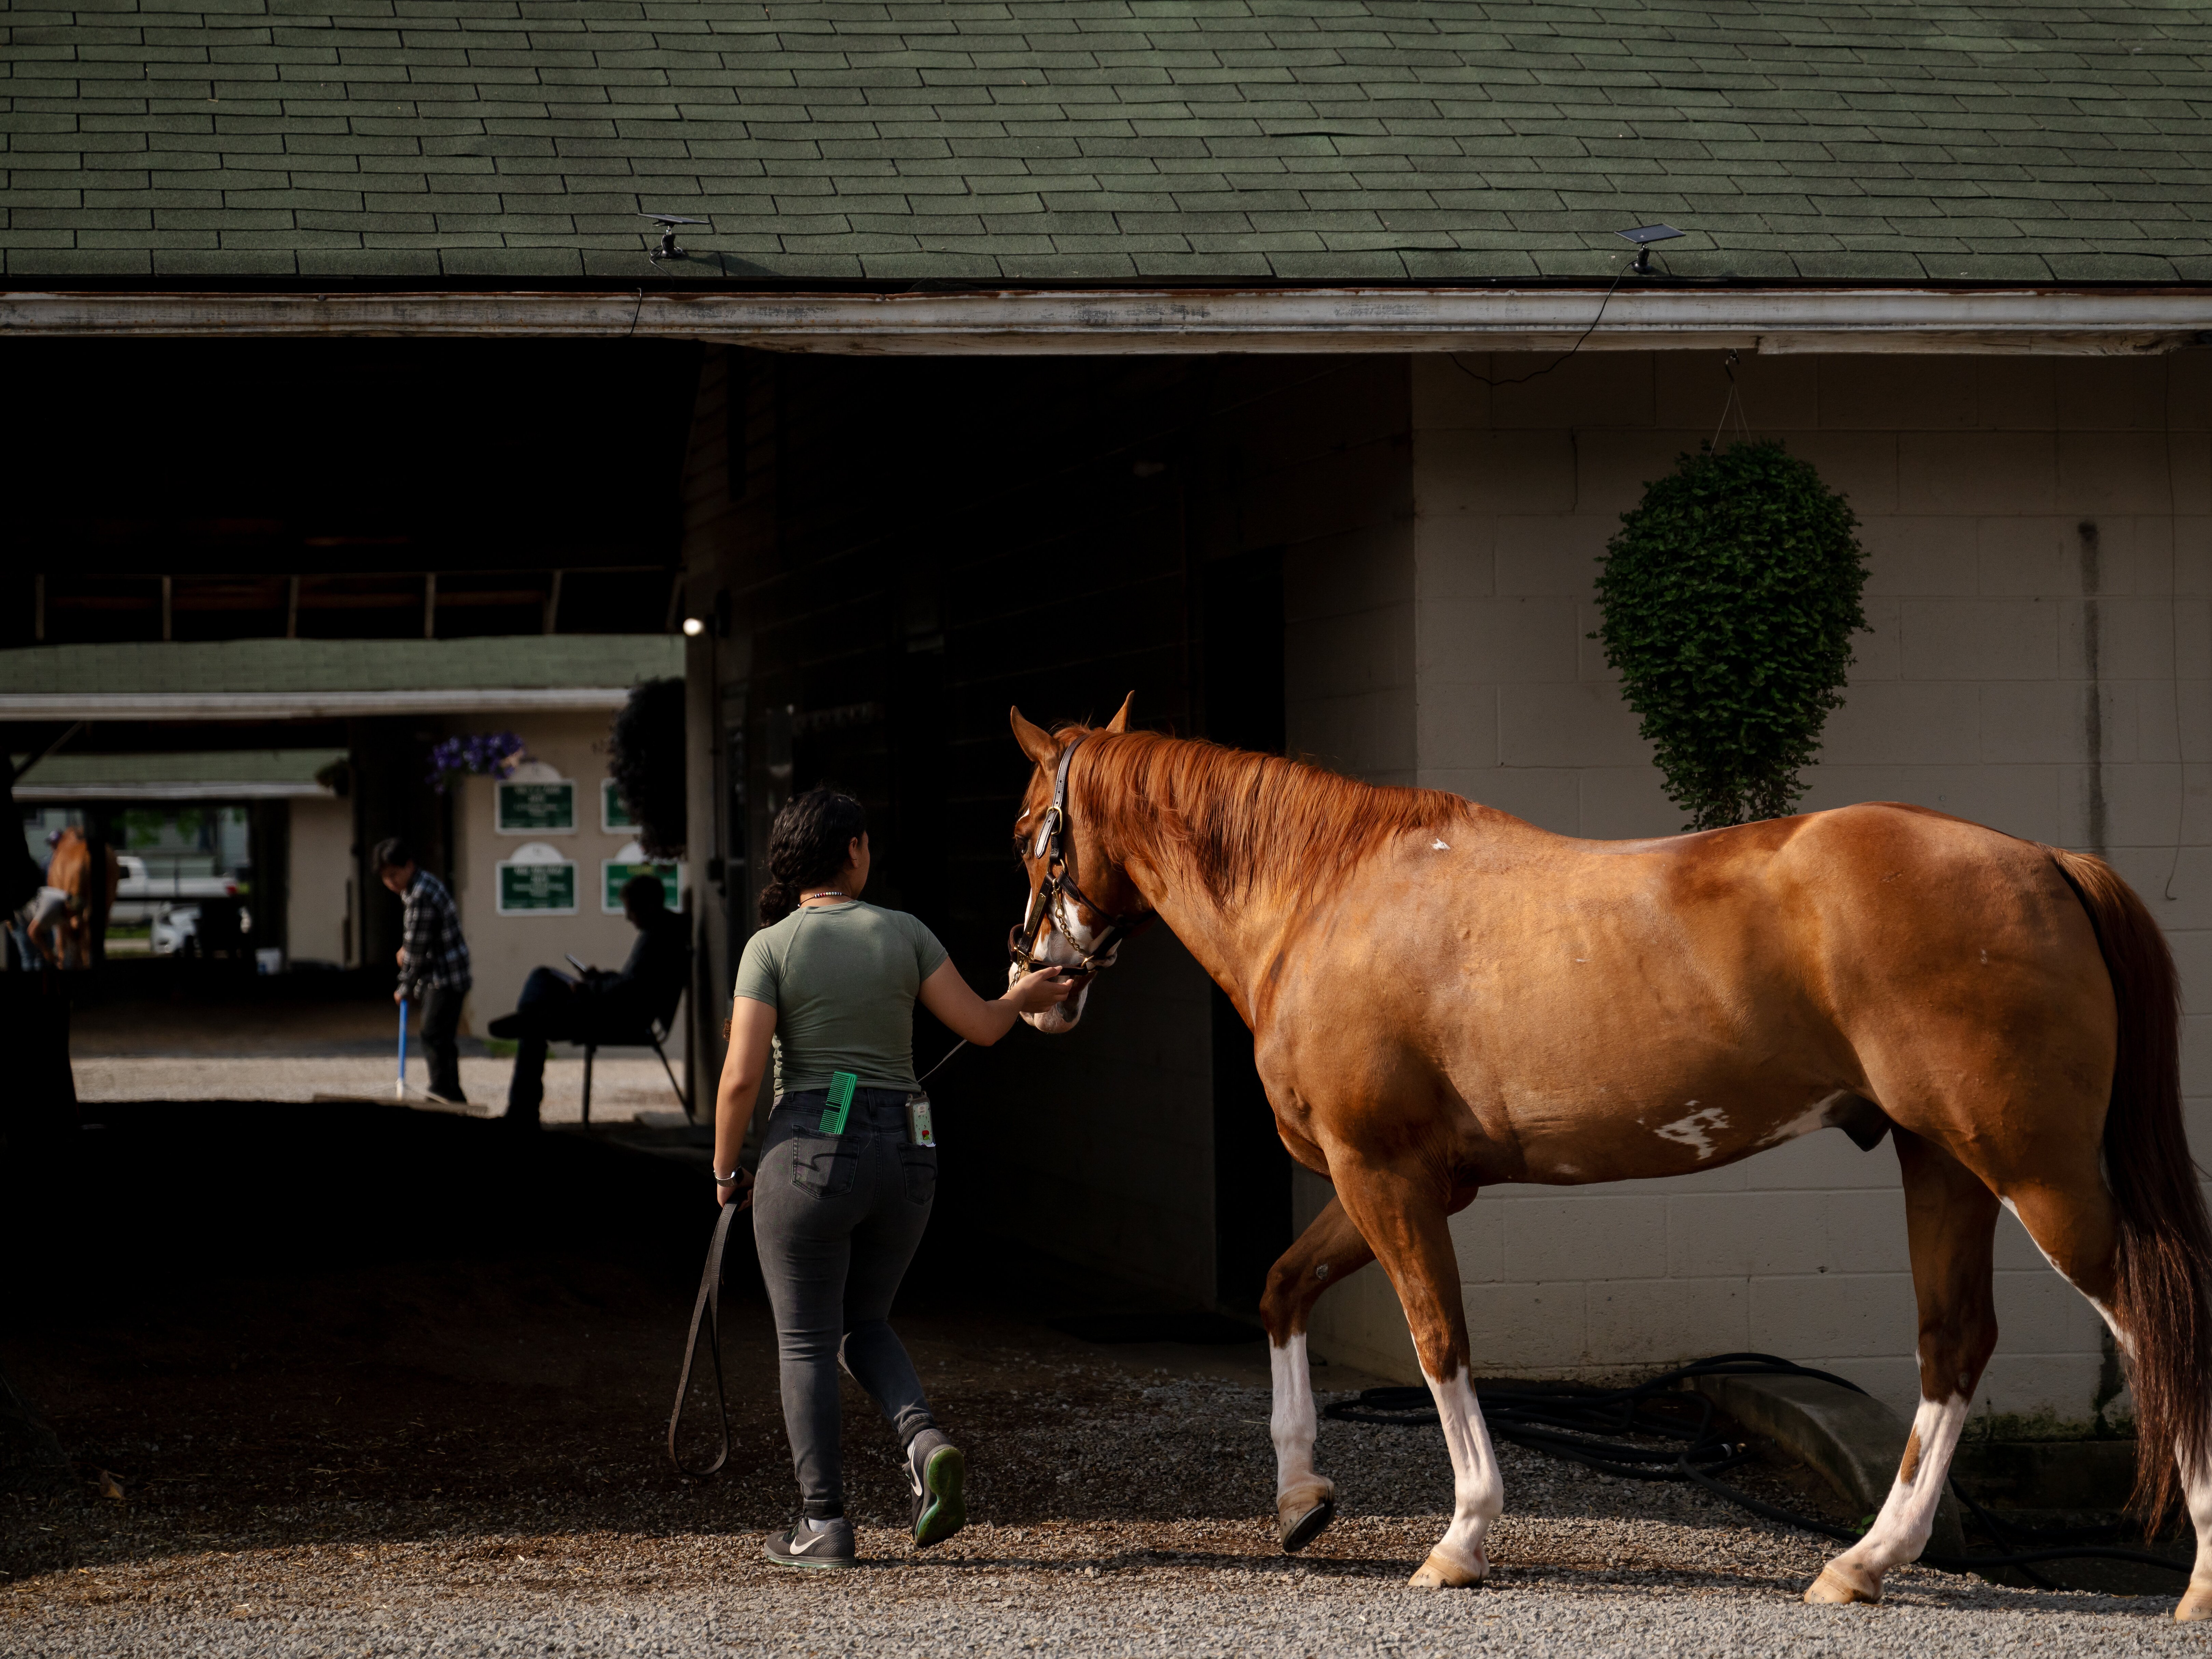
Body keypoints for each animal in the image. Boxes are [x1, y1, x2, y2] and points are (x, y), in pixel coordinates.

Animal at [1004, 698, 2212, 1619]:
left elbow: (1438, 1341)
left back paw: (2194, 1579)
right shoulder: (1385, 1181)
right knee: (1953, 1345)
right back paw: (1862, 1563)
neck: (1327, 895)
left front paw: (1461, 1537)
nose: (1033, 979)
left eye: (1027, 831)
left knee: (2159, 1324)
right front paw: (1302, 1496)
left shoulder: (1383, 1175)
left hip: (2035, 1174)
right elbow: (1282, 1287)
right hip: (1946, 1164)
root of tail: (2045, 861)